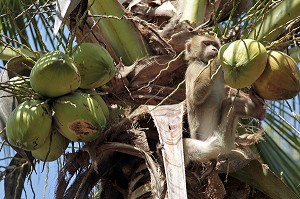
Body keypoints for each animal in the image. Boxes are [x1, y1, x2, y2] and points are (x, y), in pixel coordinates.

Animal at [183, 35, 264, 166]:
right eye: (206, 43)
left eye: (215, 44)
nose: (214, 49)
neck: (204, 63)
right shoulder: (193, 68)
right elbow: (196, 96)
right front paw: (217, 59)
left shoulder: (222, 74)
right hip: (208, 141)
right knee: (188, 145)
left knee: (232, 105)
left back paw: (257, 110)